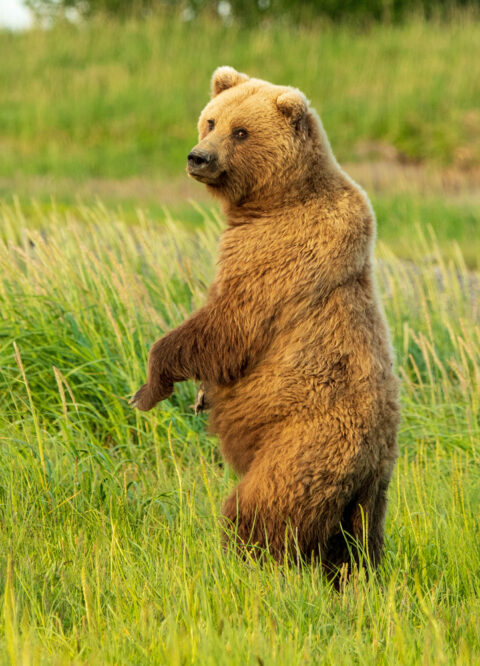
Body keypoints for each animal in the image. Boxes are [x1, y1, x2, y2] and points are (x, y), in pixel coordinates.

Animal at [131, 66, 400, 575]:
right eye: (211, 121)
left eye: (242, 131)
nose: (198, 157)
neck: (272, 200)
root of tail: (369, 463)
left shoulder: (276, 252)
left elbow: (228, 325)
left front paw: (147, 387)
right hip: (370, 499)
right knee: (359, 547)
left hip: (301, 447)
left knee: (261, 508)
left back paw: (245, 560)